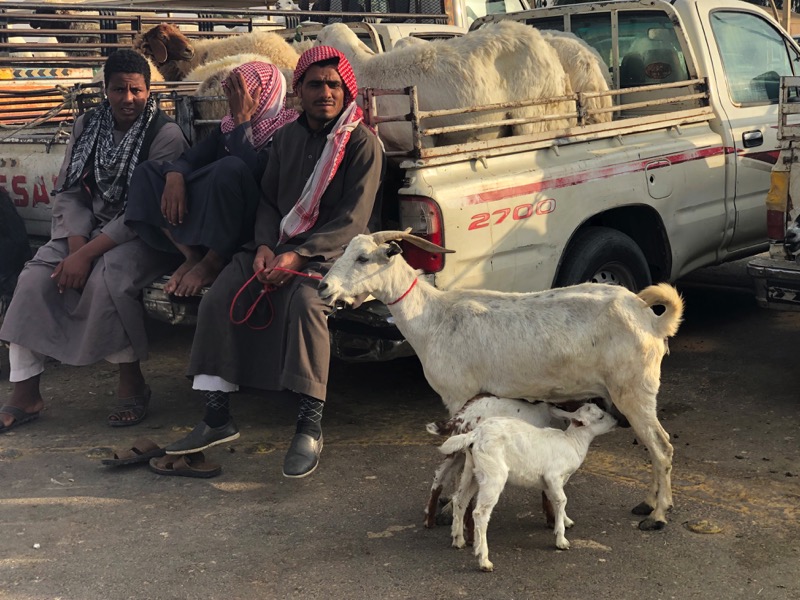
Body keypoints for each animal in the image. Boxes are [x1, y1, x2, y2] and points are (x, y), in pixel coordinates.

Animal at [318, 231, 688, 528]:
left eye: (364, 258)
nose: (323, 287)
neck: (433, 318)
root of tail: (649, 318)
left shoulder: (458, 394)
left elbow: (458, 450)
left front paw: (450, 505)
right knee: (655, 446)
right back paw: (648, 504)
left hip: (634, 391)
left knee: (661, 446)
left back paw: (657, 516)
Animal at [444, 400, 620, 568]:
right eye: (600, 417)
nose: (617, 420)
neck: (572, 442)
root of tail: (475, 435)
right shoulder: (553, 475)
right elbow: (562, 500)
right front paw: (561, 540)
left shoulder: (550, 482)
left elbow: (555, 501)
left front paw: (565, 521)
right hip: (493, 473)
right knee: (480, 513)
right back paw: (484, 560)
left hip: (472, 469)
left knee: (459, 500)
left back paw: (458, 540)